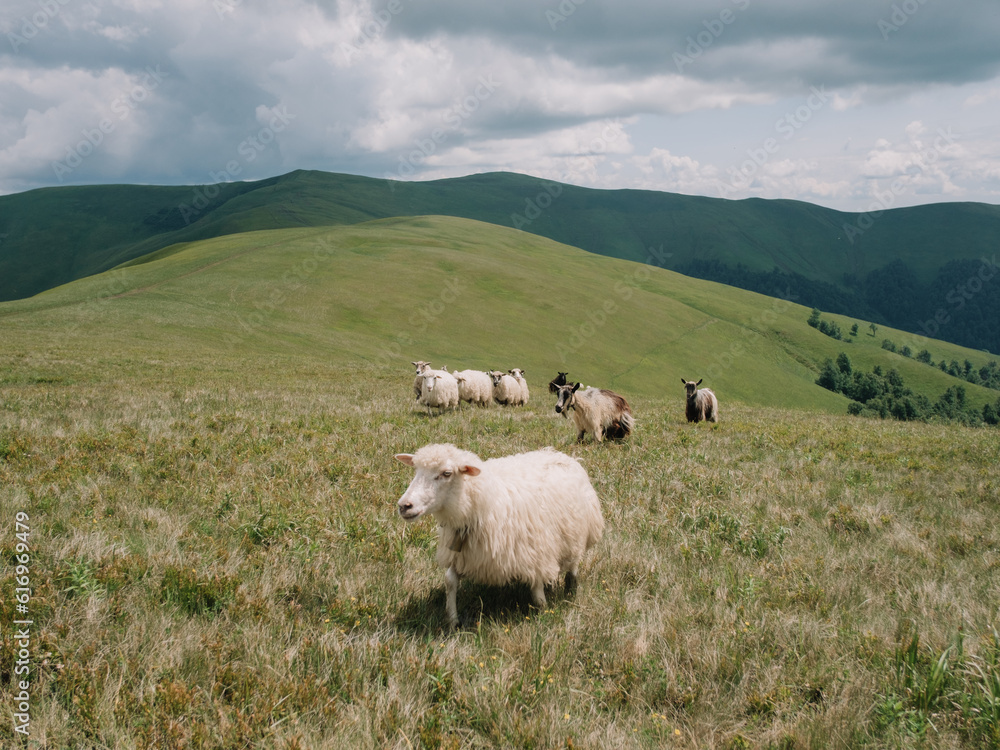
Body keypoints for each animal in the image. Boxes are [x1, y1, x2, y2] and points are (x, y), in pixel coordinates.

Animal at [395, 443, 604, 627]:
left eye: (447, 473)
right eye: (416, 470)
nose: (404, 506)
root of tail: (559, 454)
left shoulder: (535, 551)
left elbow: (537, 588)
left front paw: (544, 612)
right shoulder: (462, 554)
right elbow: (450, 581)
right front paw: (453, 620)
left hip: (578, 531)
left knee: (574, 562)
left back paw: (571, 589)